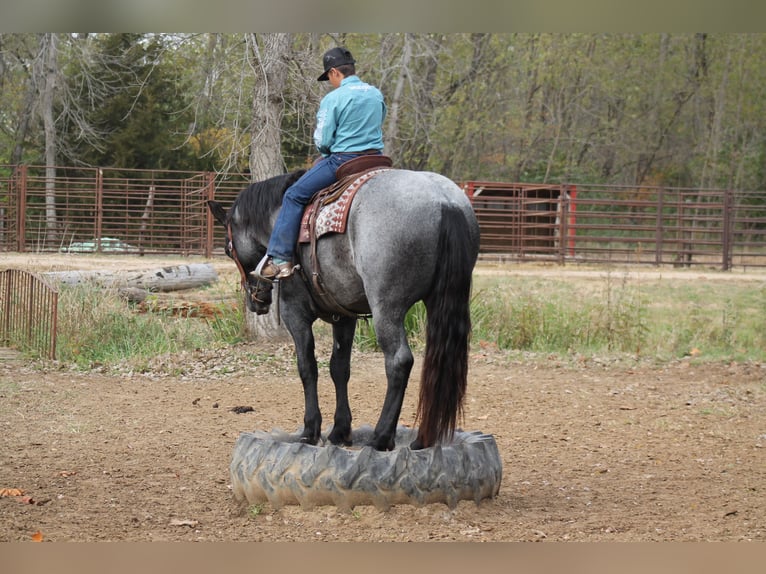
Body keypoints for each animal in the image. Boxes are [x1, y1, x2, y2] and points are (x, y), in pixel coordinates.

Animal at [208, 169, 480, 452]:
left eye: (228, 248)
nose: (256, 300)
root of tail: (444, 201)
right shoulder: (345, 316)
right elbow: (339, 368)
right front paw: (340, 430)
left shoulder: (295, 313)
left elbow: (307, 367)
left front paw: (310, 430)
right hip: (440, 301)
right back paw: (422, 439)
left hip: (387, 308)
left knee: (399, 361)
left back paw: (381, 437)